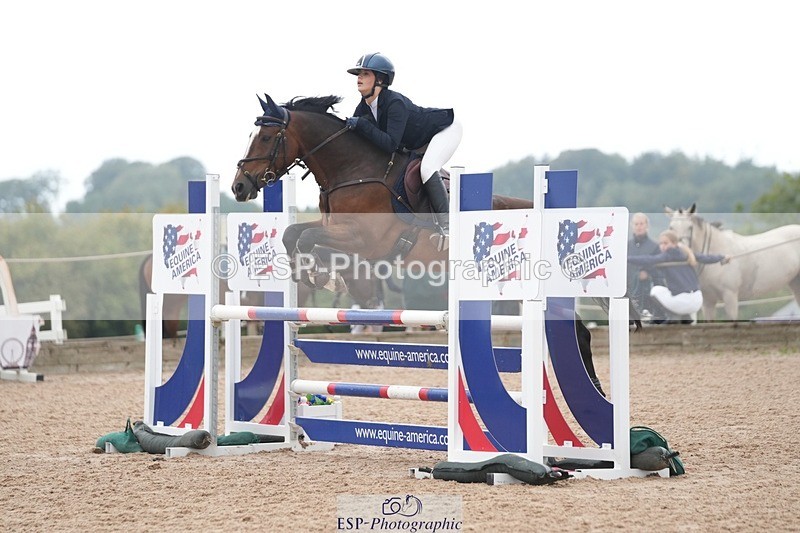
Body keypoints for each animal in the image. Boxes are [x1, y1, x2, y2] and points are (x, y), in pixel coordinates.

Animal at [230, 94, 609, 395]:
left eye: (266, 137)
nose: (239, 187)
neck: (353, 169)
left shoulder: (364, 238)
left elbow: (307, 239)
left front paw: (320, 277)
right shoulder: (343, 236)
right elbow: (294, 236)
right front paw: (319, 276)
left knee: (579, 333)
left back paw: (594, 396)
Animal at [666, 203, 800, 320]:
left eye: (690, 227)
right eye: (671, 227)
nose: (680, 250)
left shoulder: (730, 296)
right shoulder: (708, 302)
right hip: (795, 283)